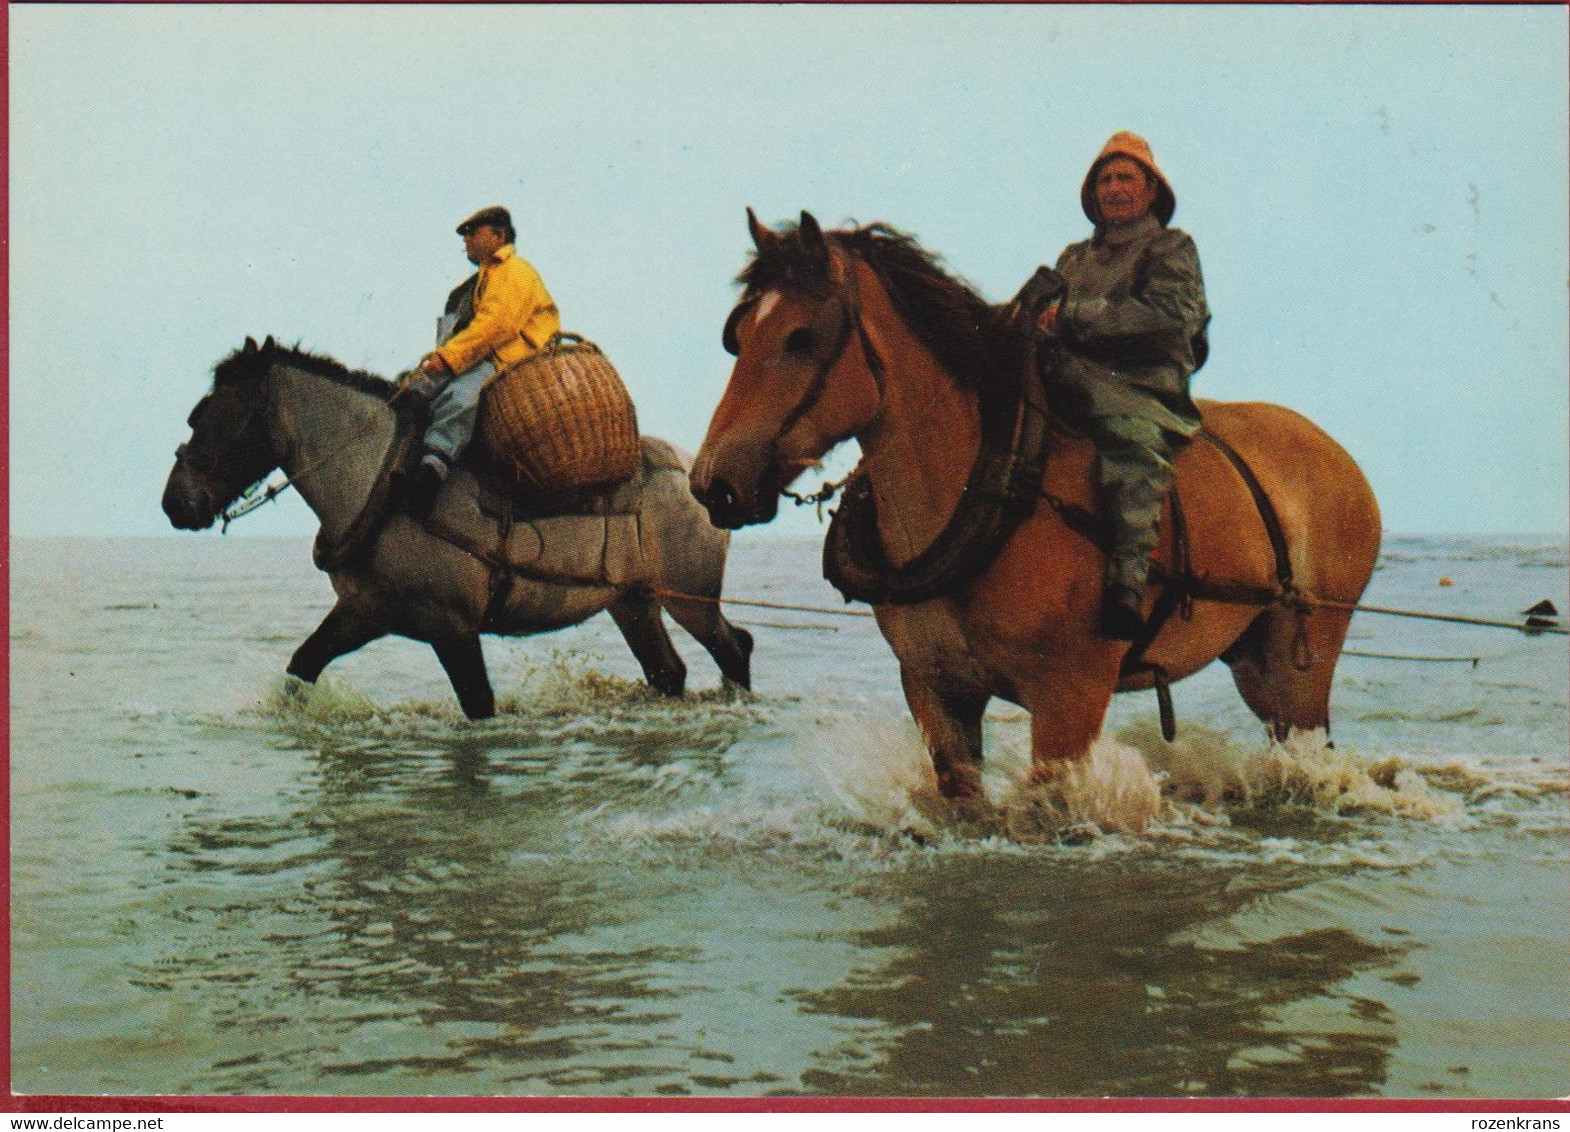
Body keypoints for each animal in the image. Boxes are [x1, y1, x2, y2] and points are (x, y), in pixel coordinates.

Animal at [162, 335, 750, 719]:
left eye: (207, 416)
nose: (174, 503)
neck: (383, 483)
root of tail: (695, 472)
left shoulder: (453, 628)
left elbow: (479, 704)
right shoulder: (362, 612)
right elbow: (301, 668)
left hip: (690, 598)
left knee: (733, 647)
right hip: (632, 603)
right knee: (668, 671)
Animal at [693, 210, 1381, 794]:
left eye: (801, 338)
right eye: (739, 335)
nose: (712, 483)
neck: (993, 490)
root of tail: (1340, 459)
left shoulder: (1068, 701)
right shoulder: (935, 691)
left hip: (1300, 668)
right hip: (1254, 660)